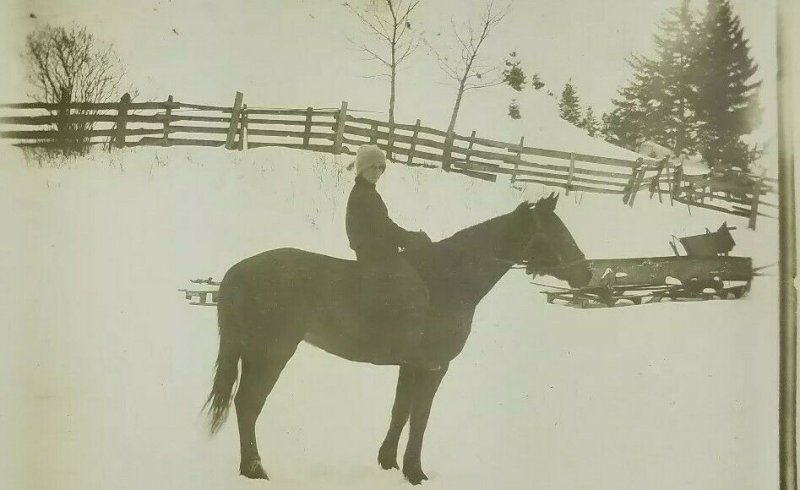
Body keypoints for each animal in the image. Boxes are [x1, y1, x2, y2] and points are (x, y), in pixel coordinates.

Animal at [203, 193, 592, 484]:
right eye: (559, 234)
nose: (586, 274)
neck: (450, 279)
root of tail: (237, 272)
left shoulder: (410, 365)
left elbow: (400, 412)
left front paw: (388, 462)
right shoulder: (435, 367)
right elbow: (420, 418)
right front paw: (415, 472)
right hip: (272, 354)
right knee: (249, 404)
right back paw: (254, 469)